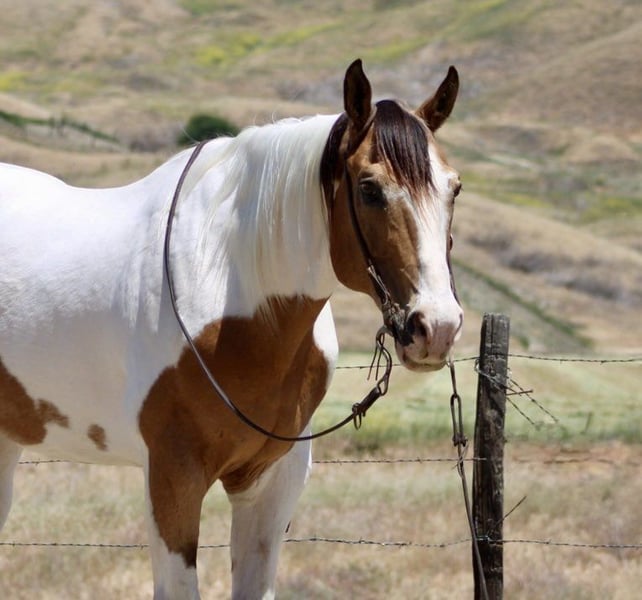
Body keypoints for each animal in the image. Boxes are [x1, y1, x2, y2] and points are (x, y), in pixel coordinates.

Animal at [0, 59, 463, 599]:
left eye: (453, 188)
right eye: (369, 189)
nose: (436, 327)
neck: (232, 293)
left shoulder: (270, 484)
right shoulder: (173, 478)